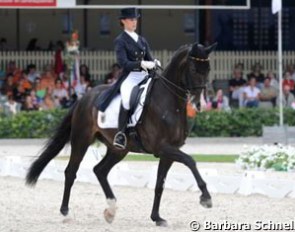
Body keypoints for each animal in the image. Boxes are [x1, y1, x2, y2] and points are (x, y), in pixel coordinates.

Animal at [26, 41, 217, 227]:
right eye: (194, 70)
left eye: (208, 69)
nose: (199, 104)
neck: (169, 103)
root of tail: (82, 98)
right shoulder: (162, 147)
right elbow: (190, 161)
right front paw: (206, 198)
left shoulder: (168, 152)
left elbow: (159, 184)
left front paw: (156, 217)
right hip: (81, 140)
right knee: (71, 172)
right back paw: (65, 211)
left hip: (118, 149)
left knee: (100, 170)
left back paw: (111, 210)